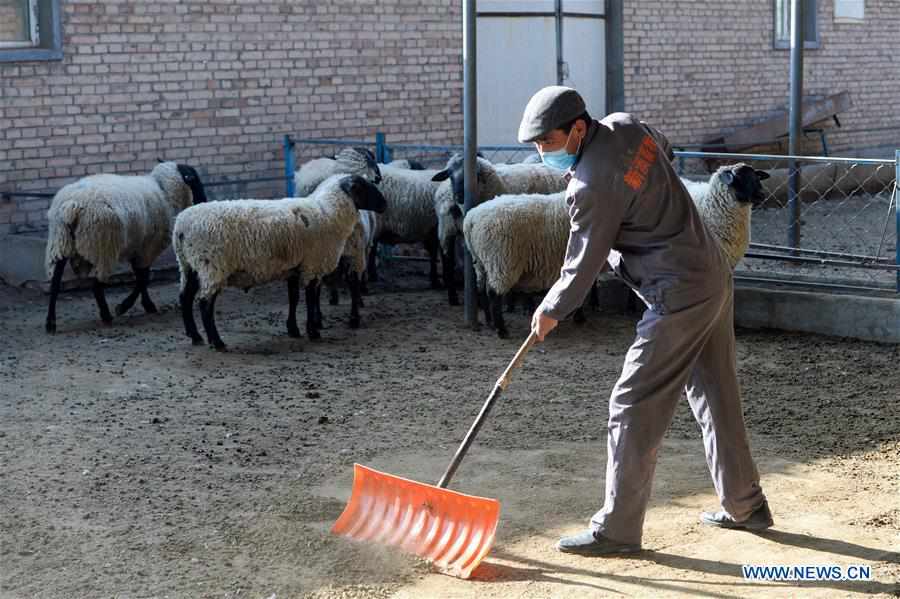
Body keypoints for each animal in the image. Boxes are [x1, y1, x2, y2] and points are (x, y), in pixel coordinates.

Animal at [45, 162, 209, 336]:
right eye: (194, 179)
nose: (203, 200)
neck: (164, 191)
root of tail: (71, 205)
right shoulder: (147, 248)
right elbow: (143, 278)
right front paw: (125, 306)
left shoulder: (138, 248)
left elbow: (141, 277)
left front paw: (146, 304)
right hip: (103, 247)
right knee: (96, 285)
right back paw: (106, 315)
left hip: (61, 243)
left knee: (55, 283)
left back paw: (51, 323)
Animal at [175, 173, 386, 352]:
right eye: (364, 187)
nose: (384, 204)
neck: (328, 212)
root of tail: (181, 228)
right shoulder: (312, 265)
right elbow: (310, 298)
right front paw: (313, 331)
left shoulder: (294, 267)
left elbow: (294, 298)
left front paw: (293, 329)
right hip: (211, 266)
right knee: (205, 304)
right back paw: (217, 342)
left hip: (189, 266)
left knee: (185, 298)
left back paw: (195, 336)